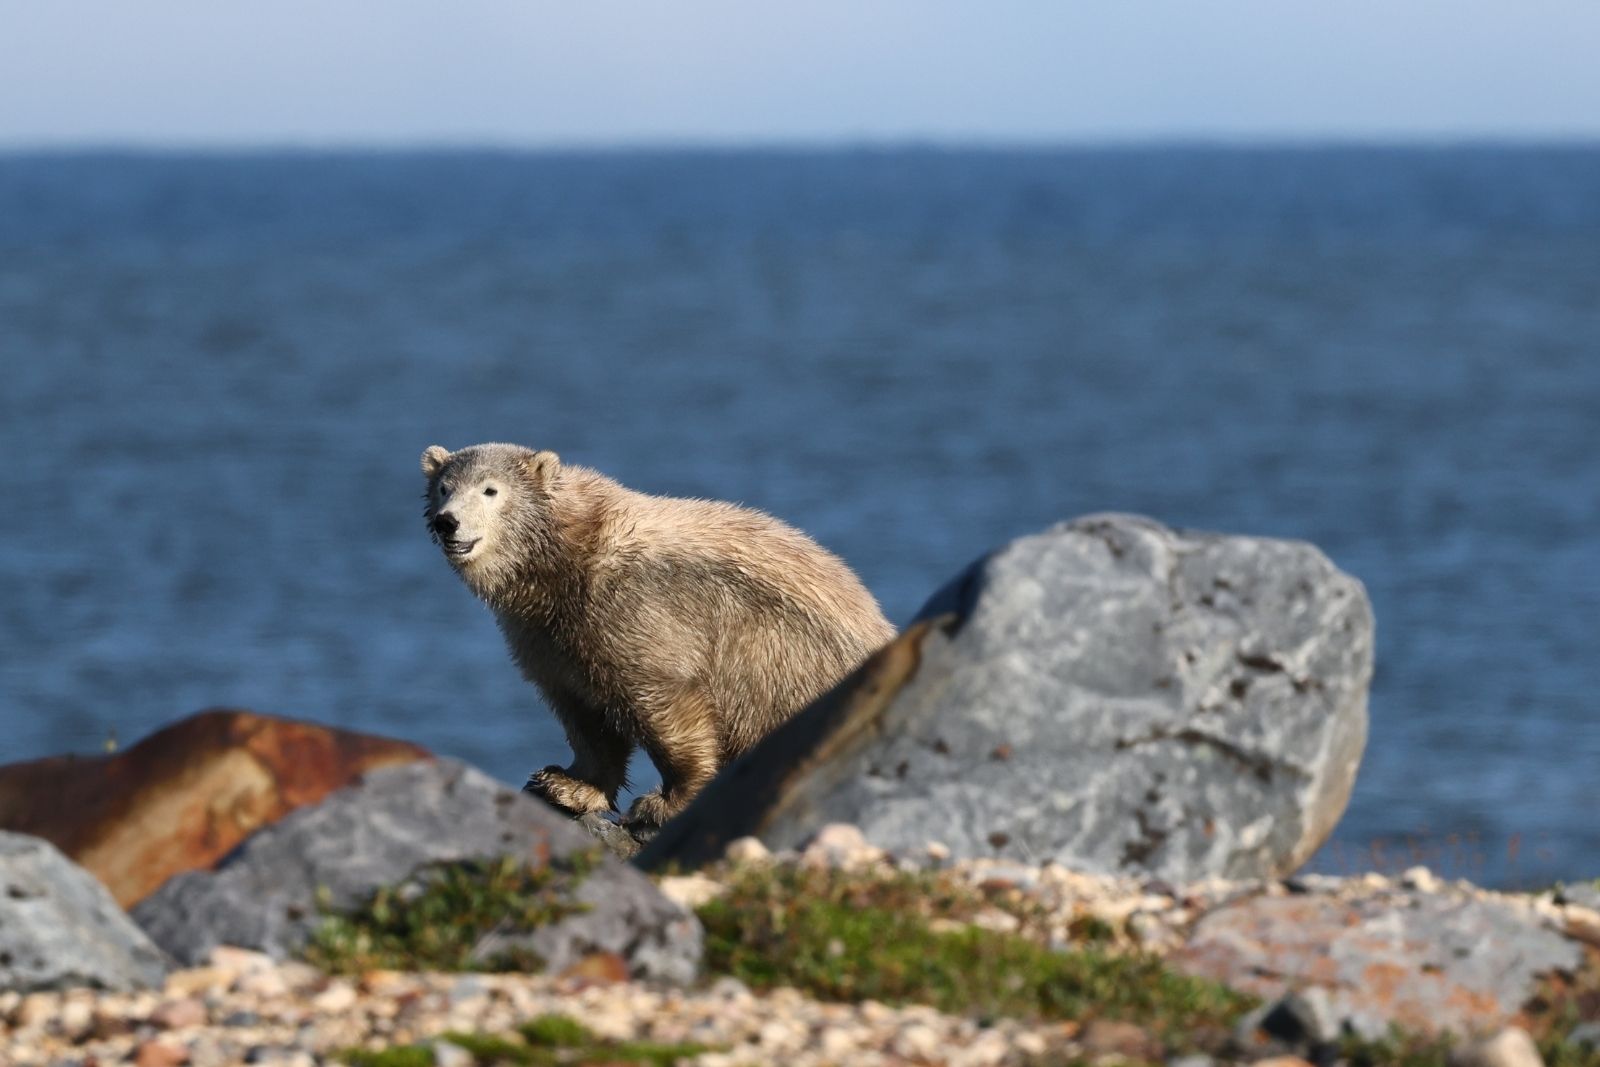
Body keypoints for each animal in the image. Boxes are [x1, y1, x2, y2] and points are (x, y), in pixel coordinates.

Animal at [421, 442, 897, 827]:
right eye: (445, 487)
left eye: (490, 490)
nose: (448, 523)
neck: (567, 557)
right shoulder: (548, 637)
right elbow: (583, 713)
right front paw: (566, 785)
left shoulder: (637, 608)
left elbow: (666, 700)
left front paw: (663, 804)